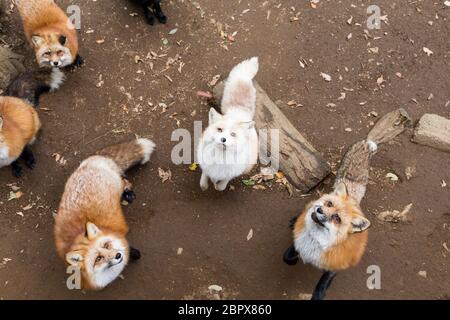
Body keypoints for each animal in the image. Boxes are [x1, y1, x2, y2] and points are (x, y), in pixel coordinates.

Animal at [54, 138, 156, 290]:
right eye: (98, 258)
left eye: (106, 246)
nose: (118, 255)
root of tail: (90, 161)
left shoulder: (121, 236)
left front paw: (133, 254)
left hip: (117, 184)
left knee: (125, 180)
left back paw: (128, 194)